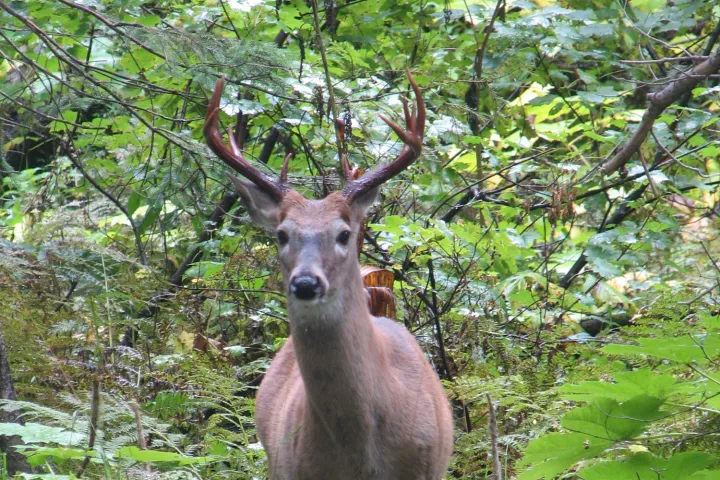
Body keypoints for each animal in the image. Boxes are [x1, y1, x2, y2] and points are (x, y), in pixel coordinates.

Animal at [204, 70, 453, 480]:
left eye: (344, 234)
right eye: (281, 234)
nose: (306, 283)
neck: (361, 452)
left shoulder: (428, 468)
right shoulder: (291, 469)